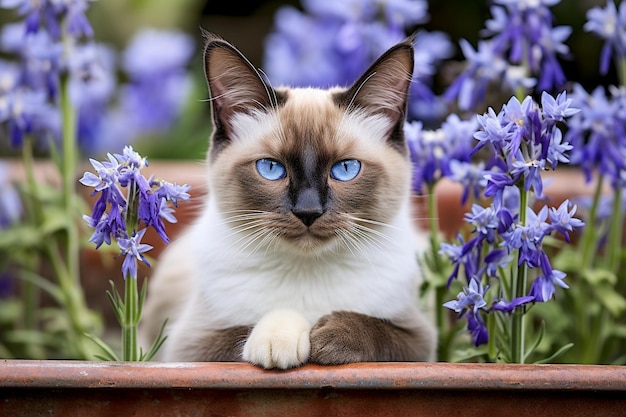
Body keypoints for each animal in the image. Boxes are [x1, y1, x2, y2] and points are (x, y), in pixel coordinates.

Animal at [139, 30, 436, 368]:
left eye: (345, 169)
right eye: (271, 169)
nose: (308, 212)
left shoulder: (420, 341)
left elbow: (376, 330)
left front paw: (326, 339)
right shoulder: (189, 345)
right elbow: (250, 329)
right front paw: (281, 340)